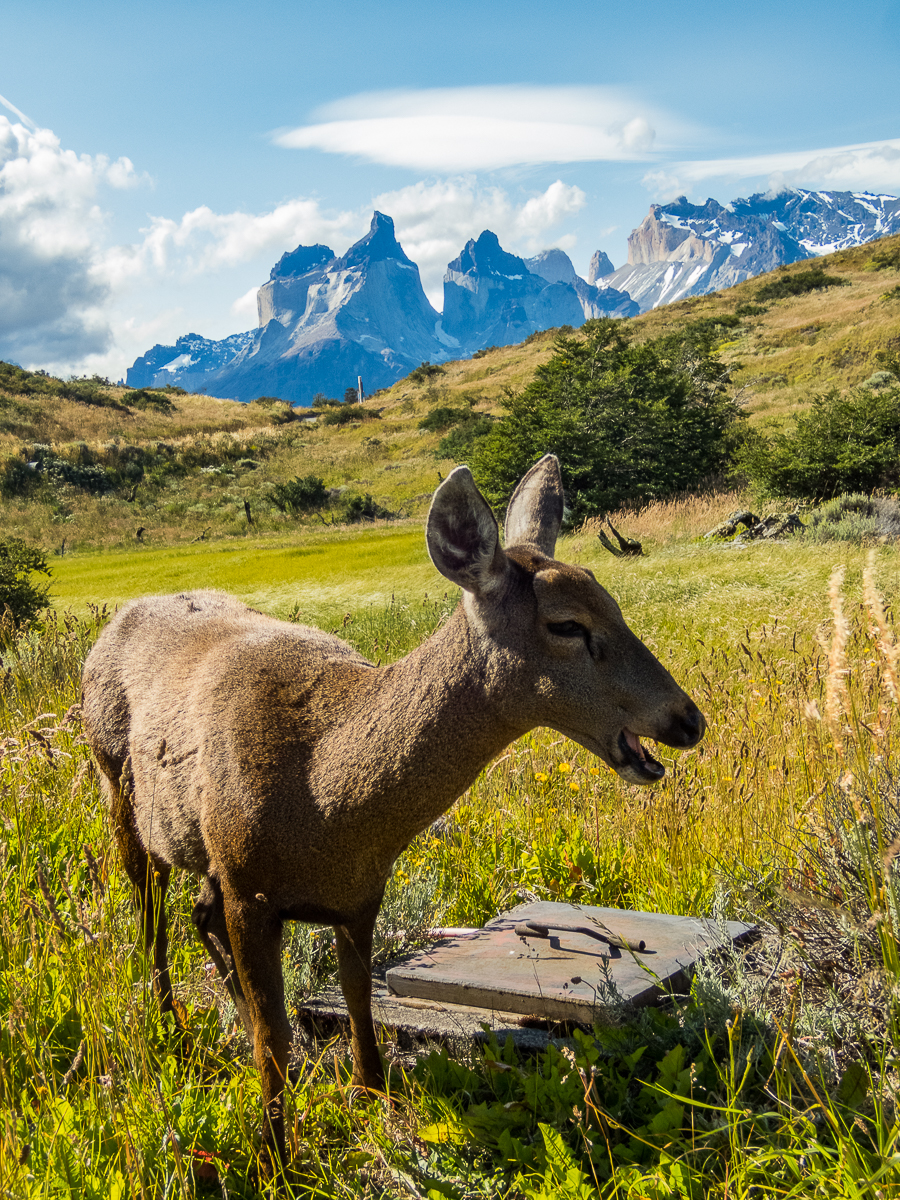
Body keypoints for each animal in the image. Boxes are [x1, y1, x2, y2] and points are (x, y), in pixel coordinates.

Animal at [81, 453, 710, 1176]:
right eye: (567, 624)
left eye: (613, 602)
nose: (686, 719)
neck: (326, 802)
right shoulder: (249, 888)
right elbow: (273, 1038)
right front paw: (276, 1158)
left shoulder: (360, 893)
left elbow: (358, 999)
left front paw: (373, 1097)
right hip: (117, 786)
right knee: (151, 918)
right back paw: (168, 1024)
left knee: (194, 912)